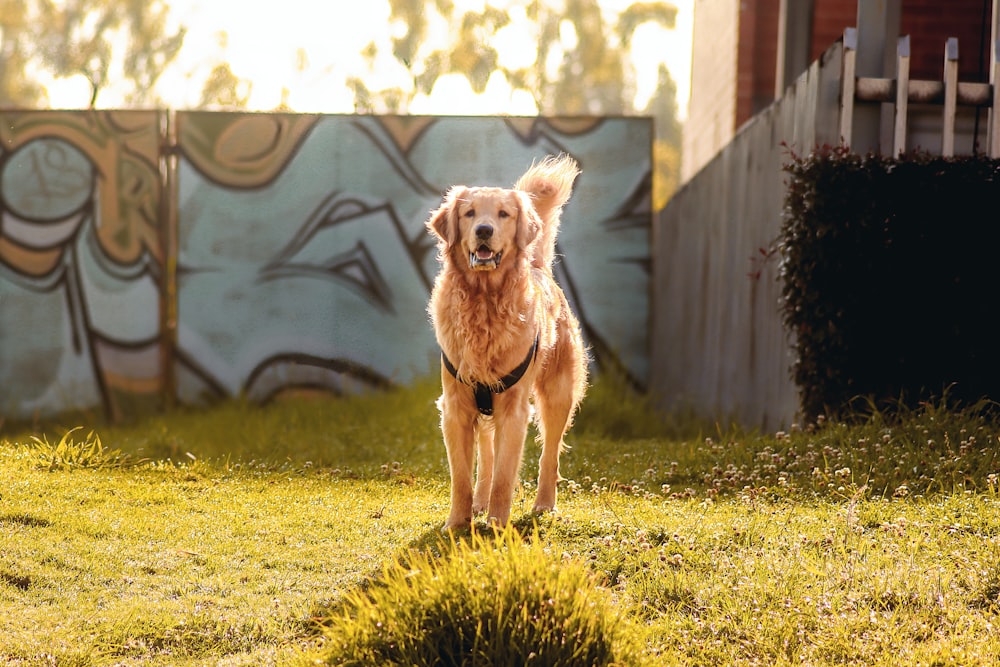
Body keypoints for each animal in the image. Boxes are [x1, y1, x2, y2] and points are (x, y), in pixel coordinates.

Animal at [422, 154, 584, 528]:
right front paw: (458, 522)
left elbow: (505, 475)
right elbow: (463, 476)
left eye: (503, 214)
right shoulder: (456, 406)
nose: (484, 230)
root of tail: (540, 267)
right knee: (486, 457)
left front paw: (497, 523)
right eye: (469, 213)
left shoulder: (514, 409)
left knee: (549, 456)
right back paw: (479, 504)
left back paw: (544, 504)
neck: (484, 302)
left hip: (558, 395)